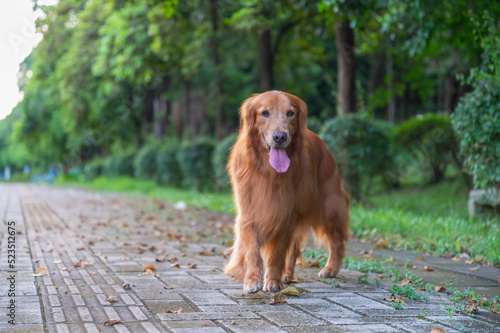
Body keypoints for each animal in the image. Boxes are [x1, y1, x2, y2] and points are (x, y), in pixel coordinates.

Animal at [225, 90, 350, 290]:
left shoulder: (286, 214)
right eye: (264, 113)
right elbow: (252, 250)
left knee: (336, 241)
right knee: (294, 248)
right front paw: (252, 280)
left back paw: (331, 268)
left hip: (329, 208)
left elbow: (276, 254)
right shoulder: (249, 212)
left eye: (290, 113)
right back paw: (288, 275)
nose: (280, 137)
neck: (267, 172)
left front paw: (273, 281)